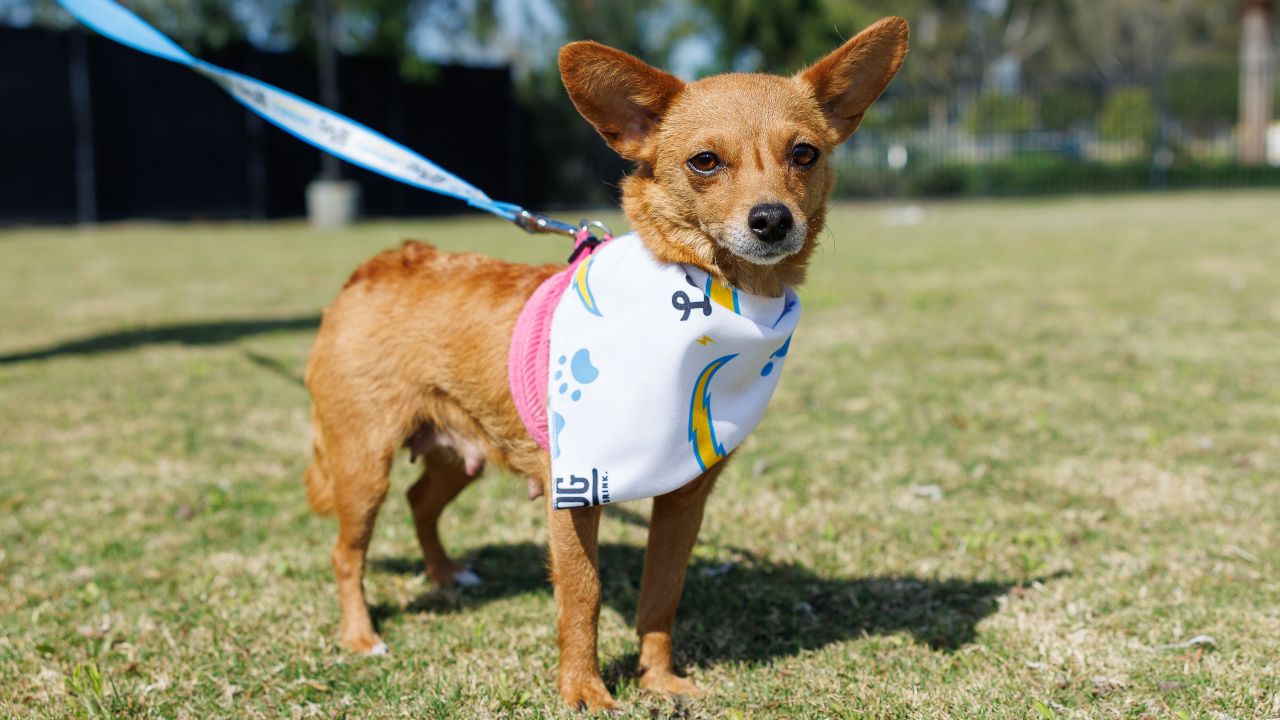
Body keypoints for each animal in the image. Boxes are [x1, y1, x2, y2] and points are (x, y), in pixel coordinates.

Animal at [307, 19, 911, 707]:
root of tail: (375, 265)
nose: (771, 220)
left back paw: (444, 574)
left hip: (460, 449)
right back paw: (360, 635)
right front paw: (584, 692)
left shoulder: (684, 498)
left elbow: (662, 594)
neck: (710, 300)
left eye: (805, 153)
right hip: (363, 466)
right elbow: (583, 597)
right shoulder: (577, 491)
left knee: (420, 502)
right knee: (348, 553)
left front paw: (660, 680)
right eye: (705, 161)